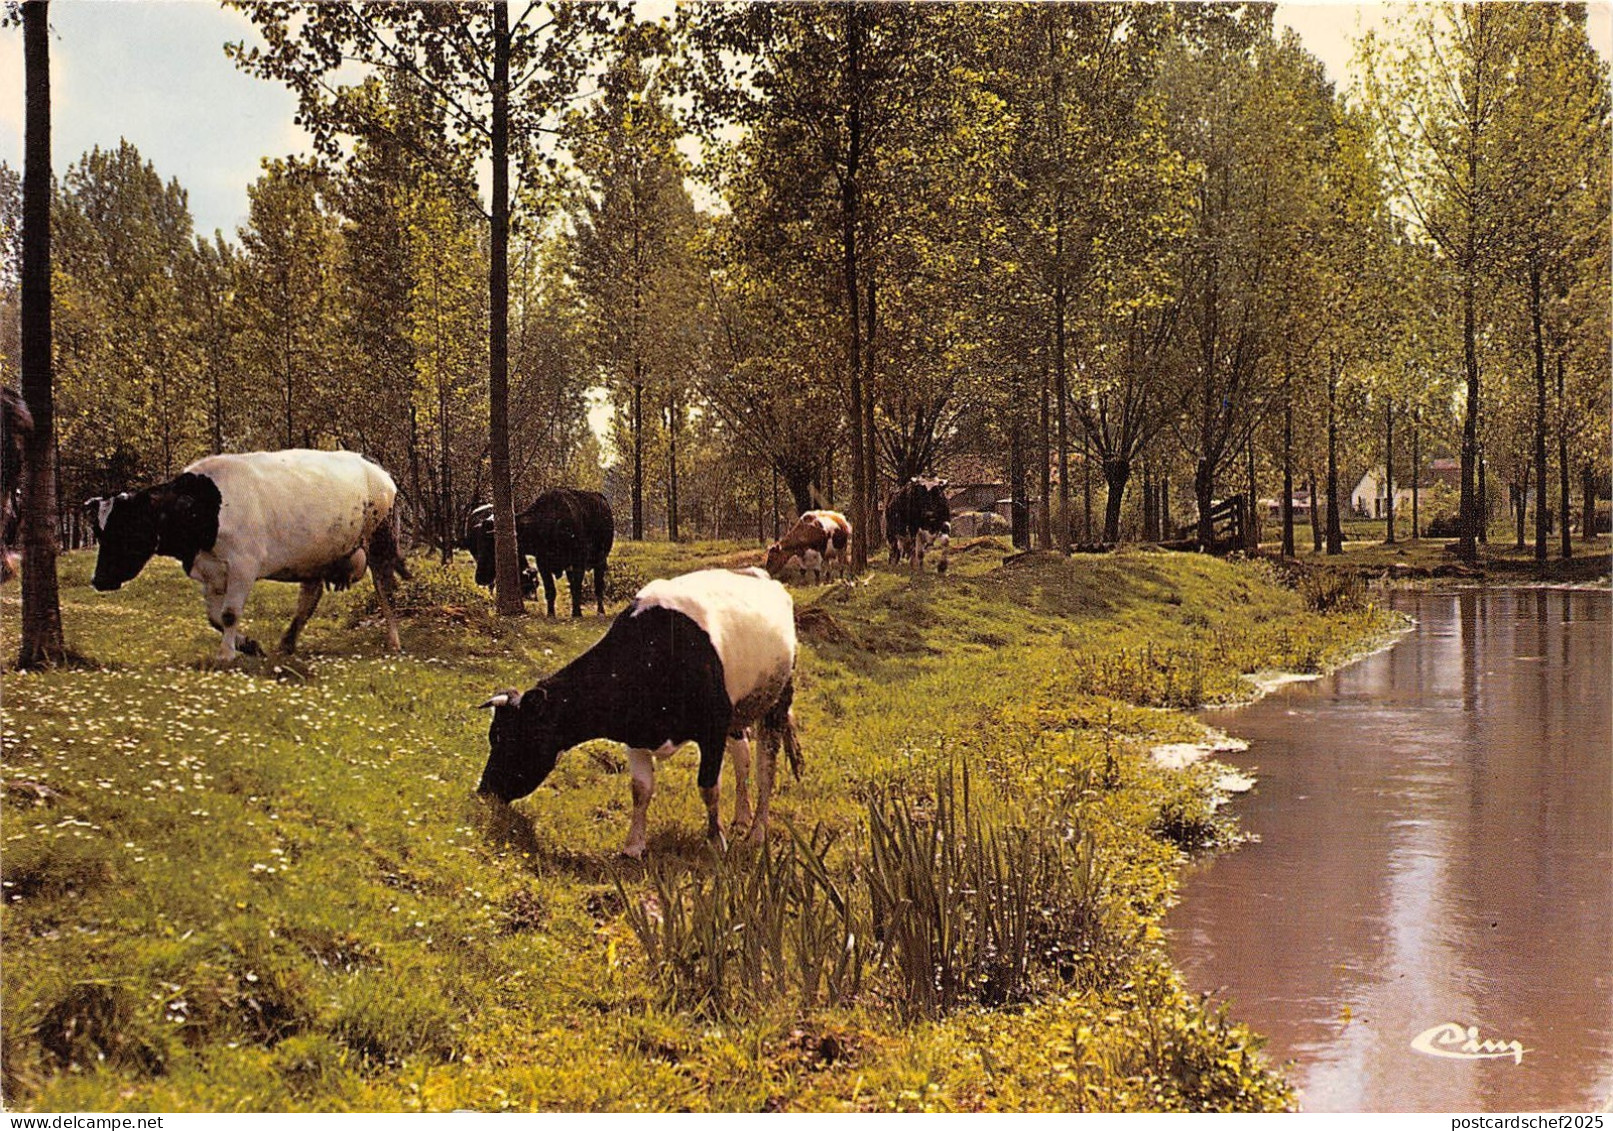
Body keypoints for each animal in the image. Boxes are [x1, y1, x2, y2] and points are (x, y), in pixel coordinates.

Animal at [90, 449, 410, 661]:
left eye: (127, 529)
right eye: (99, 532)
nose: (99, 580)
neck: (207, 505)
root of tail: (377, 470)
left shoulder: (244, 565)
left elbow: (229, 614)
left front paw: (226, 654)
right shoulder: (210, 572)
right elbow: (214, 617)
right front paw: (249, 645)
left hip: (380, 544)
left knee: (385, 592)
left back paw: (394, 642)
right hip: (315, 556)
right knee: (309, 599)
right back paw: (286, 644)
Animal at [468, 489, 613, 617]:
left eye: (490, 546)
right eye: (478, 545)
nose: (480, 578)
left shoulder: (579, 562)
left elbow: (577, 588)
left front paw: (576, 613)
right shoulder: (543, 563)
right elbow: (551, 590)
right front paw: (550, 613)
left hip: (601, 560)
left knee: (598, 587)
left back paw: (600, 611)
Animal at [477, 567, 803, 858]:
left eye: (514, 738)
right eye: (494, 736)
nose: (484, 790)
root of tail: (764, 577)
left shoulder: (712, 728)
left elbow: (709, 788)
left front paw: (715, 841)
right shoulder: (635, 734)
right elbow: (640, 790)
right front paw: (633, 846)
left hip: (775, 702)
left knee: (765, 771)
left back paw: (757, 832)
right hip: (738, 713)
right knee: (743, 759)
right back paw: (741, 819)